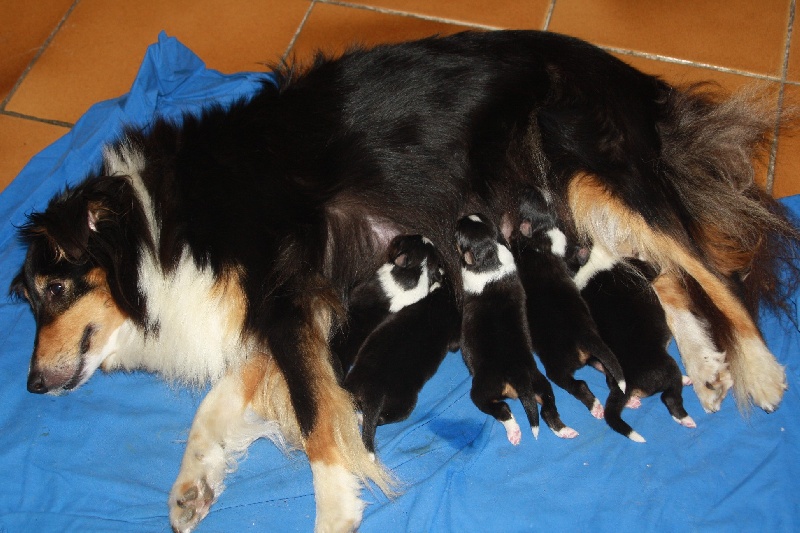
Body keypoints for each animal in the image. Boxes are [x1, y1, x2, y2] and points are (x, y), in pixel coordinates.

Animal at [344, 235, 462, 450]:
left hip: (404, 405)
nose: (394, 237)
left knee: (381, 418)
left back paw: (361, 419)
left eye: (399, 242)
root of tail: (374, 393)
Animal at [456, 211, 576, 440]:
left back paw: (513, 431)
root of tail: (518, 375)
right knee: (548, 410)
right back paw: (566, 431)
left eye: (458, 233)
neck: (492, 258)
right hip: (541, 383)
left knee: (501, 408)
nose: (462, 216)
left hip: (483, 390)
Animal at [512, 189, 624, 418]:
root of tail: (586, 335)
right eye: (540, 202)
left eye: (523, 208)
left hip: (557, 366)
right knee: (607, 371)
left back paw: (595, 406)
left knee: (577, 384)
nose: (524, 190)